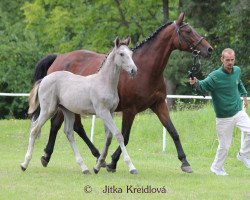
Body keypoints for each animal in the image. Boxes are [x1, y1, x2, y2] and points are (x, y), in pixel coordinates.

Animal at [21, 38, 139, 173]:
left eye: (131, 53)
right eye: (121, 54)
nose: (134, 70)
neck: (104, 82)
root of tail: (44, 79)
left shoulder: (110, 112)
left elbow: (108, 138)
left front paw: (98, 166)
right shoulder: (102, 112)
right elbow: (118, 135)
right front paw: (131, 167)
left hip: (67, 111)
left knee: (69, 133)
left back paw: (84, 167)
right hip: (48, 110)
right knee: (35, 129)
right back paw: (24, 164)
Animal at [34, 12, 212, 173]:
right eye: (188, 31)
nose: (209, 49)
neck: (146, 70)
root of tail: (58, 58)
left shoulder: (159, 104)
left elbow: (173, 131)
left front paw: (185, 162)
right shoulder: (129, 110)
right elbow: (124, 136)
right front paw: (113, 162)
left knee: (71, 127)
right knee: (59, 125)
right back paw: (53, 156)